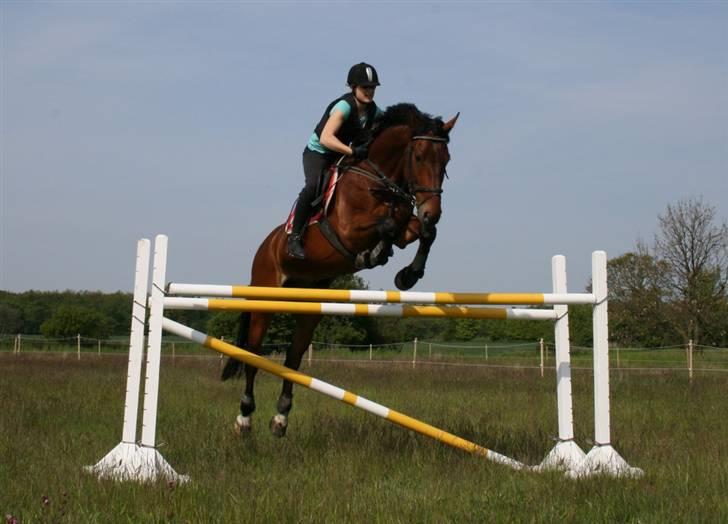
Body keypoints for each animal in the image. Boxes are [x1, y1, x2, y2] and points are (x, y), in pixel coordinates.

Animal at [225, 103, 458, 438]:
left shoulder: (407, 225)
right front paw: (374, 254)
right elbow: (387, 225)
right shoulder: (348, 230)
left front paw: (407, 274)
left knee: (293, 357)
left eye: (446, 160)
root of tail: (263, 248)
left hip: (310, 307)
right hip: (265, 301)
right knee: (253, 354)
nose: (433, 212)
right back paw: (244, 418)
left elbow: (420, 231)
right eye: (418, 157)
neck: (379, 179)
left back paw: (280, 419)